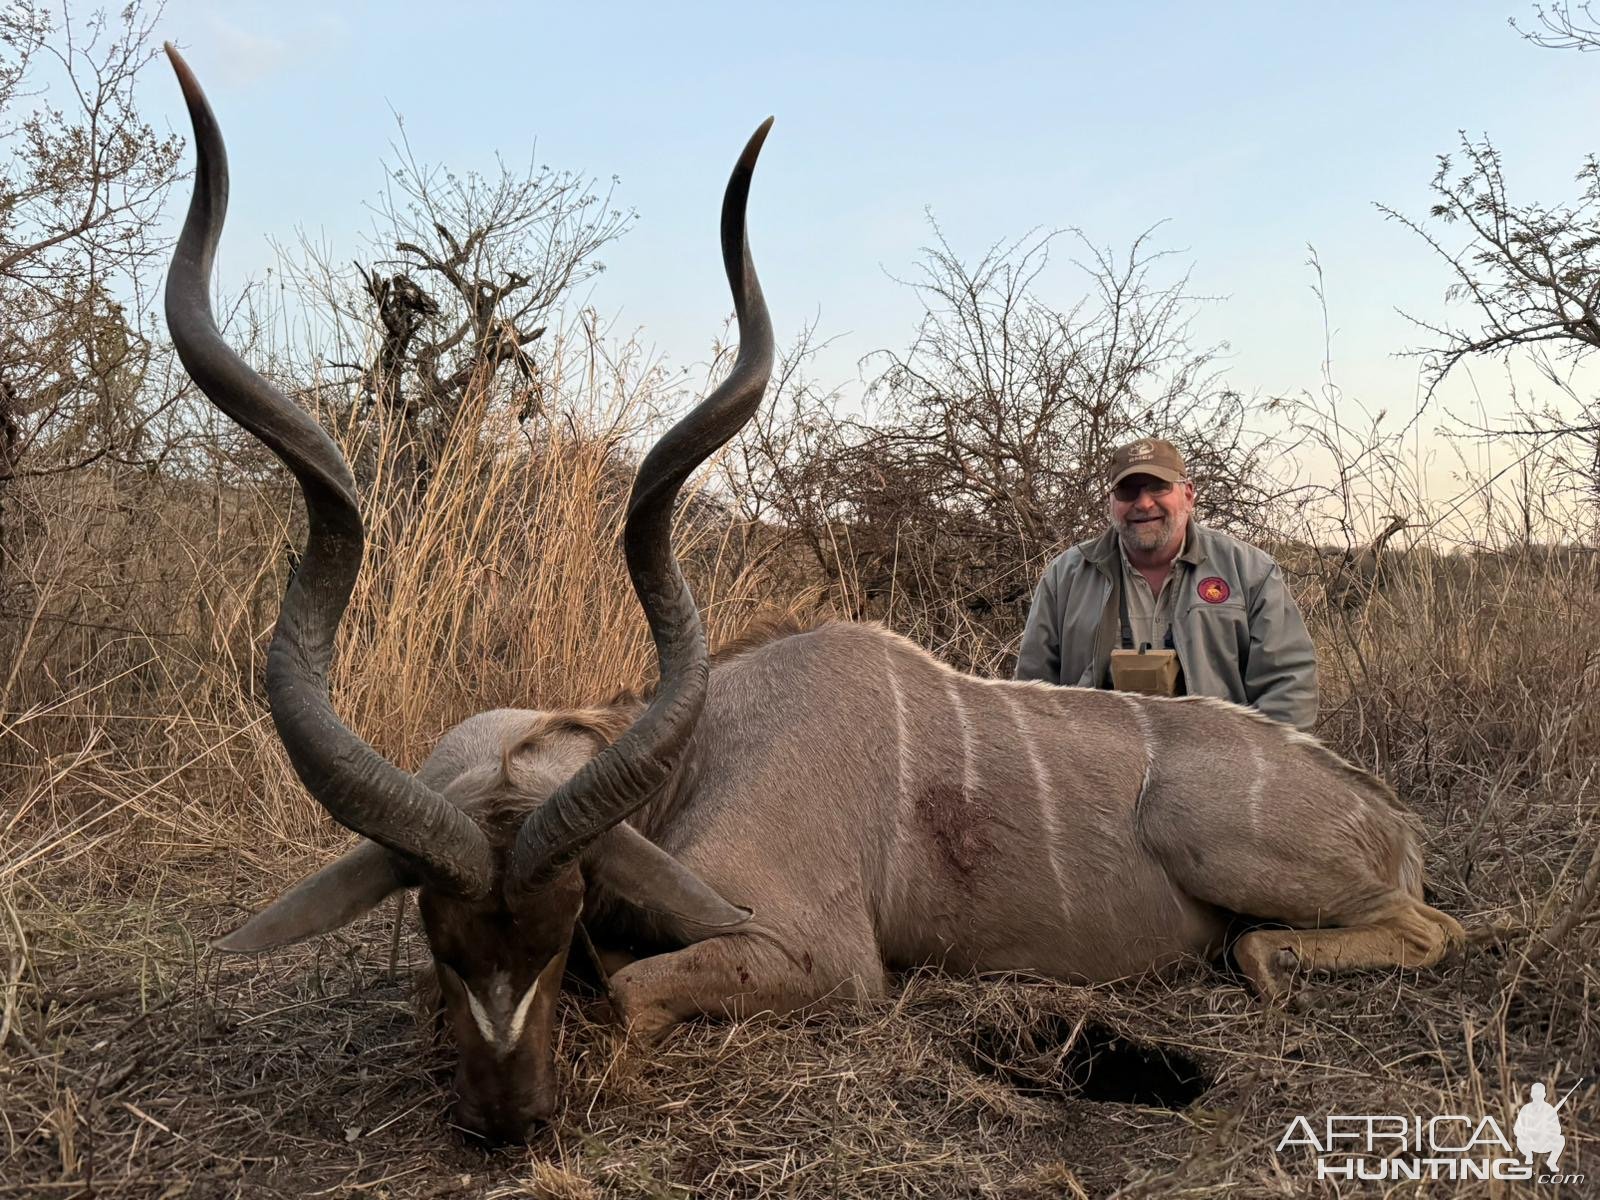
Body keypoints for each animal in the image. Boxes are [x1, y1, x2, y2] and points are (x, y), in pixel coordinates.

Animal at [162, 49, 1465, 1145]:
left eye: (560, 918)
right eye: (440, 941)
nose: (509, 1120)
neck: (701, 751)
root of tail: (1383, 815)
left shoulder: (815, 956)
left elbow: (628, 990)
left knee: (1410, 931)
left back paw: (1265, 955)